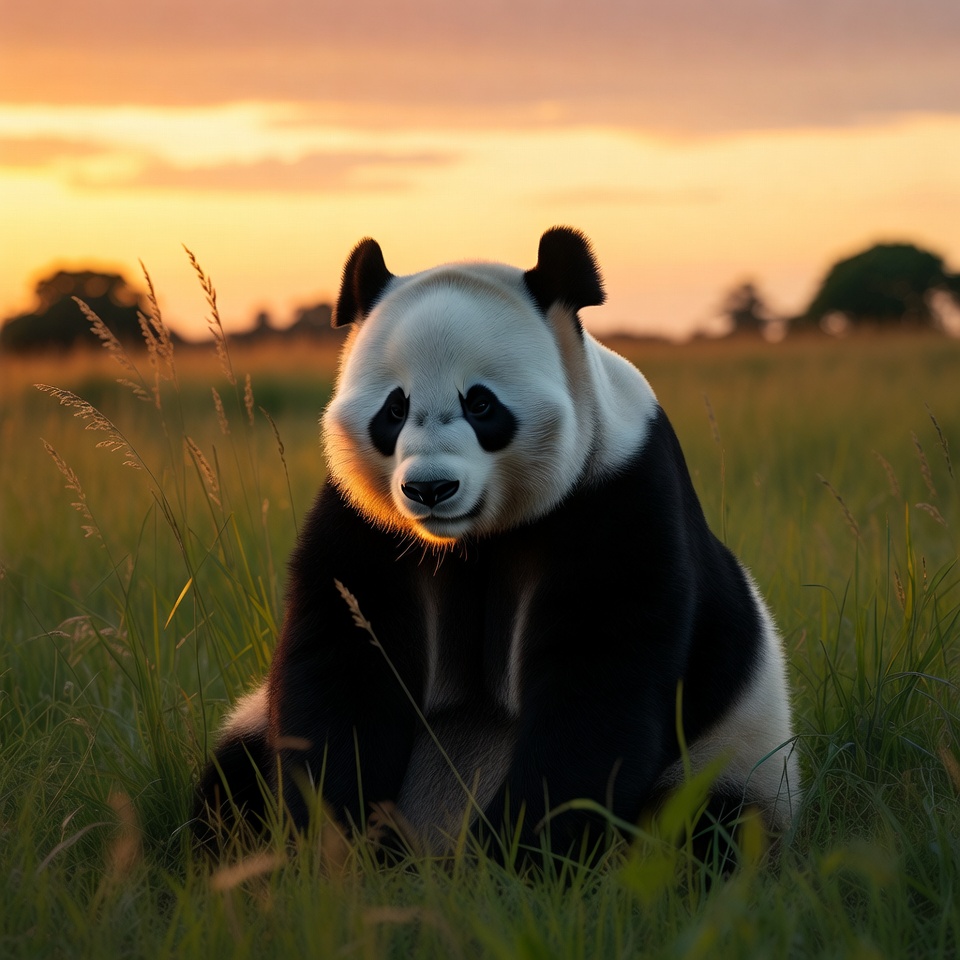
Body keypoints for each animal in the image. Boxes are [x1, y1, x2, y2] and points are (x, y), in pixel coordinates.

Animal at [194, 227, 801, 865]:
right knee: (233, 776)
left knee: (713, 830)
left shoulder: (618, 494)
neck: (470, 540)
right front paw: (344, 847)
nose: (429, 488)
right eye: (394, 408)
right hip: (251, 724)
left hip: (729, 762)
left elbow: (596, 690)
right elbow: (341, 664)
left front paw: (515, 857)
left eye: (480, 403)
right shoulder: (365, 526)